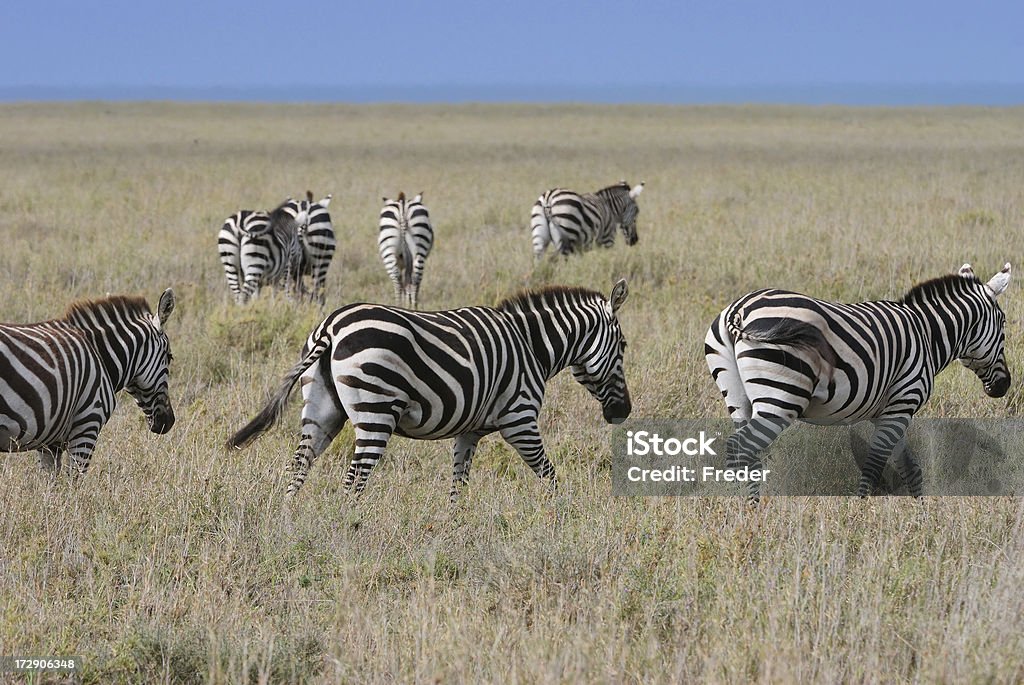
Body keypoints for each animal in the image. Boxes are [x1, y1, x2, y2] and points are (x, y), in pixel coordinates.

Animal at [0, 286, 177, 471]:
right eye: (170, 357)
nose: (169, 422)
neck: (99, 354)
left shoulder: (49, 443)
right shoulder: (87, 426)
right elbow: (74, 478)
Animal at [228, 278, 630, 501]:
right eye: (624, 346)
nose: (622, 412)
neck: (531, 346)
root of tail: (331, 327)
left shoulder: (469, 431)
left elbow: (458, 485)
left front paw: (456, 528)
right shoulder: (520, 419)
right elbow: (549, 475)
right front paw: (562, 516)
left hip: (321, 410)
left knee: (299, 465)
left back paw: (289, 521)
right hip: (376, 413)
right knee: (353, 481)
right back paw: (347, 532)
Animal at [708, 262, 1011, 497]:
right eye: (1004, 324)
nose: (1004, 386)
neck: (927, 334)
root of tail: (739, 309)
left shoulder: (888, 412)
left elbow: (910, 468)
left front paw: (923, 516)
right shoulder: (904, 401)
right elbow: (874, 466)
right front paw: (860, 513)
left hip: (738, 398)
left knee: (742, 454)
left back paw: (742, 512)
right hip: (780, 396)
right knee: (741, 447)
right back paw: (746, 512)